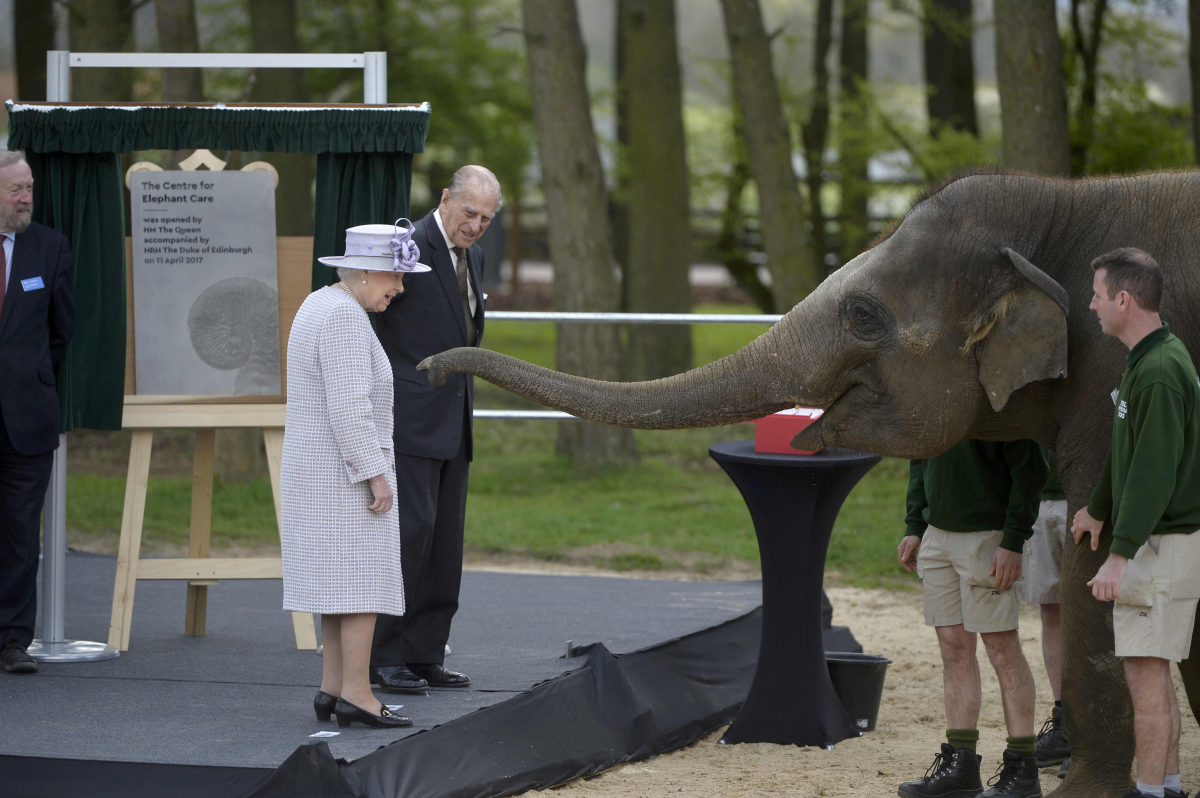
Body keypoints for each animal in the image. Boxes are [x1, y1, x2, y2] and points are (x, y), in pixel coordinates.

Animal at [420, 169, 1200, 796]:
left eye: (862, 314)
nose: (430, 367)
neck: (1063, 204)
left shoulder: (1109, 382)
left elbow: (1095, 552)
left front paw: (1087, 793)